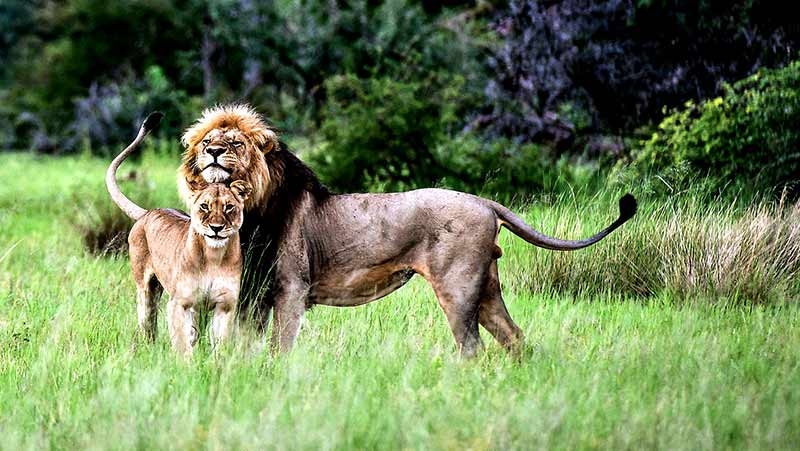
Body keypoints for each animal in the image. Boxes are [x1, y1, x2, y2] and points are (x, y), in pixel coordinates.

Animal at [106, 112, 253, 357]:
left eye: (229, 207)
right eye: (204, 206)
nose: (216, 228)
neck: (214, 257)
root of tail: (148, 212)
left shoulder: (225, 306)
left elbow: (219, 346)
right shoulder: (178, 303)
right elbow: (183, 345)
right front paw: (186, 364)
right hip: (146, 291)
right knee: (148, 325)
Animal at [176, 104, 637, 357]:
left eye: (235, 143)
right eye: (207, 141)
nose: (212, 151)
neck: (250, 210)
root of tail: (485, 202)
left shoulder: (291, 289)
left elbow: (278, 348)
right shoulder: (254, 292)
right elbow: (242, 344)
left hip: (457, 286)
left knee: (472, 347)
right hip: (487, 288)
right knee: (514, 337)